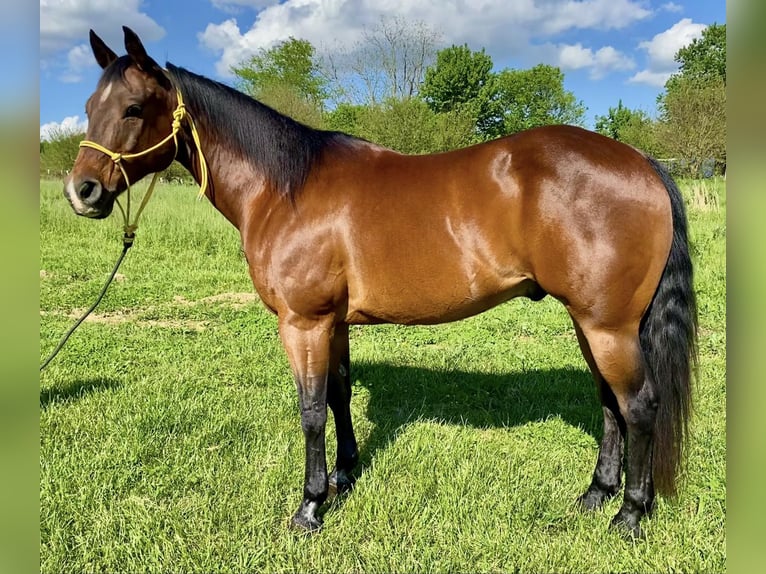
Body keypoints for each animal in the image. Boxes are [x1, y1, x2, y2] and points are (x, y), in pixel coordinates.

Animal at [64, 27, 697, 538]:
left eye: (134, 107)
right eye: (90, 104)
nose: (82, 192)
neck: (285, 188)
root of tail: (642, 163)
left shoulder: (303, 322)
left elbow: (311, 409)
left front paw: (310, 507)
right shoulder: (334, 322)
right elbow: (339, 395)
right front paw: (344, 475)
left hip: (607, 326)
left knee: (639, 405)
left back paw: (629, 515)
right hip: (591, 323)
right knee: (610, 404)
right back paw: (596, 495)